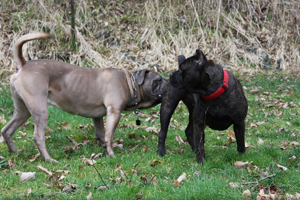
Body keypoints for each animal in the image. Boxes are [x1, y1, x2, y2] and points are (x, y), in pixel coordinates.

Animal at [0, 32, 166, 163]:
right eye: (158, 80)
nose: (169, 81)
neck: (129, 83)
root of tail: (23, 65)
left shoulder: (98, 117)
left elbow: (101, 134)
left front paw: (104, 151)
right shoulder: (114, 112)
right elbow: (109, 136)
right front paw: (111, 154)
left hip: (22, 111)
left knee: (7, 130)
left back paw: (14, 152)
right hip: (40, 109)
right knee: (38, 136)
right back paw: (48, 159)